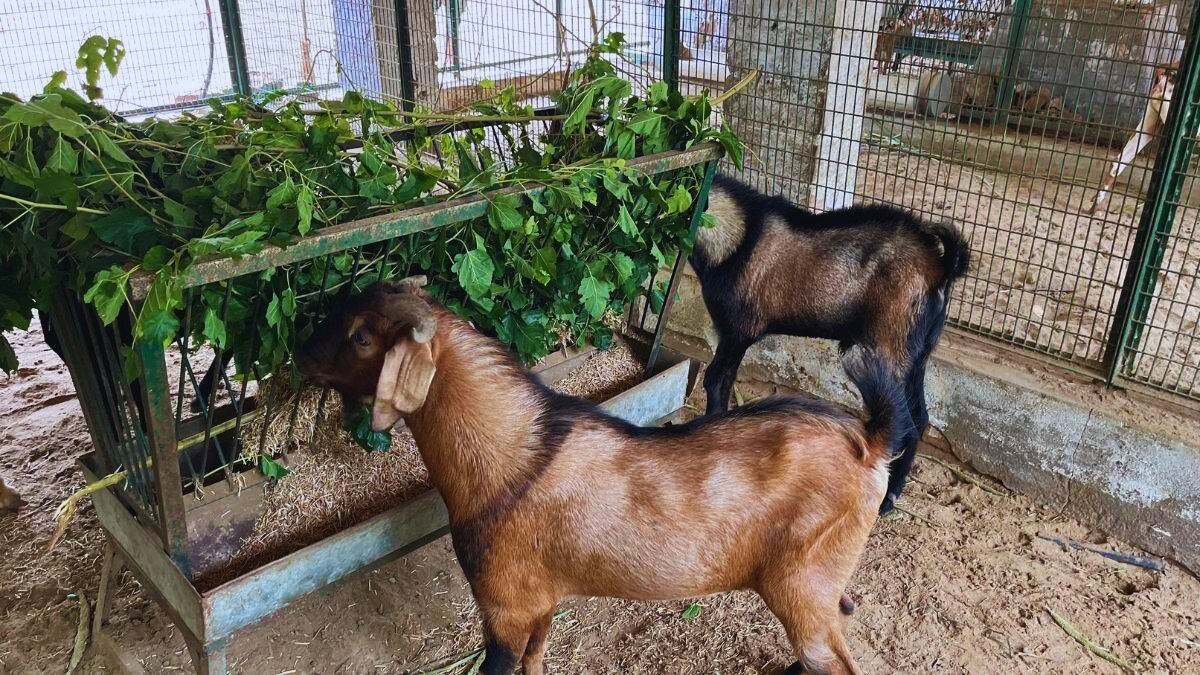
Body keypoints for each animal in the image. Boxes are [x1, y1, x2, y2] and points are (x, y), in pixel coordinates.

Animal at [297, 277, 907, 675]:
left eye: (361, 337)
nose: (301, 355)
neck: (510, 462)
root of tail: (870, 444)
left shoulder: (503, 607)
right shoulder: (541, 603)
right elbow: (536, 661)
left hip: (802, 582)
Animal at [690, 174, 971, 514]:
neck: (739, 239)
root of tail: (942, 265)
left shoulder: (739, 330)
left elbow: (716, 379)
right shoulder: (732, 334)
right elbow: (723, 379)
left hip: (887, 346)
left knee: (907, 420)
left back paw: (888, 497)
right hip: (917, 354)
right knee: (921, 417)